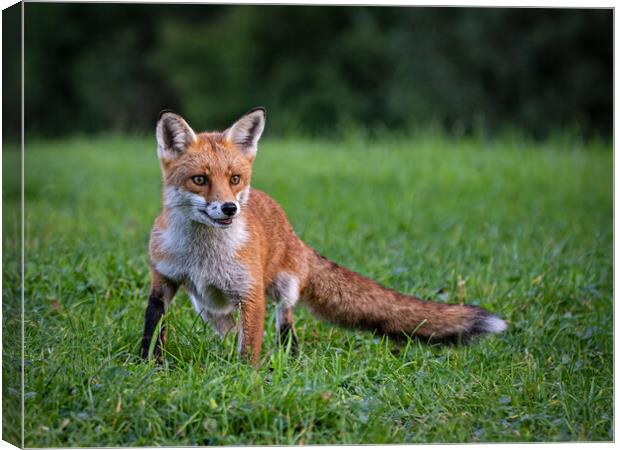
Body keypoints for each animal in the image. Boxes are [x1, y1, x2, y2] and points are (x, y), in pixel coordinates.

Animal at [142, 107, 508, 364]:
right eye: (200, 180)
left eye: (234, 179)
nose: (230, 208)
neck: (202, 258)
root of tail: (291, 231)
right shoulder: (164, 279)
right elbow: (153, 330)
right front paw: (150, 368)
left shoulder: (251, 293)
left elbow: (250, 351)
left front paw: (247, 379)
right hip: (207, 307)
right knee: (229, 331)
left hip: (281, 288)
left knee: (284, 324)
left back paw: (288, 361)